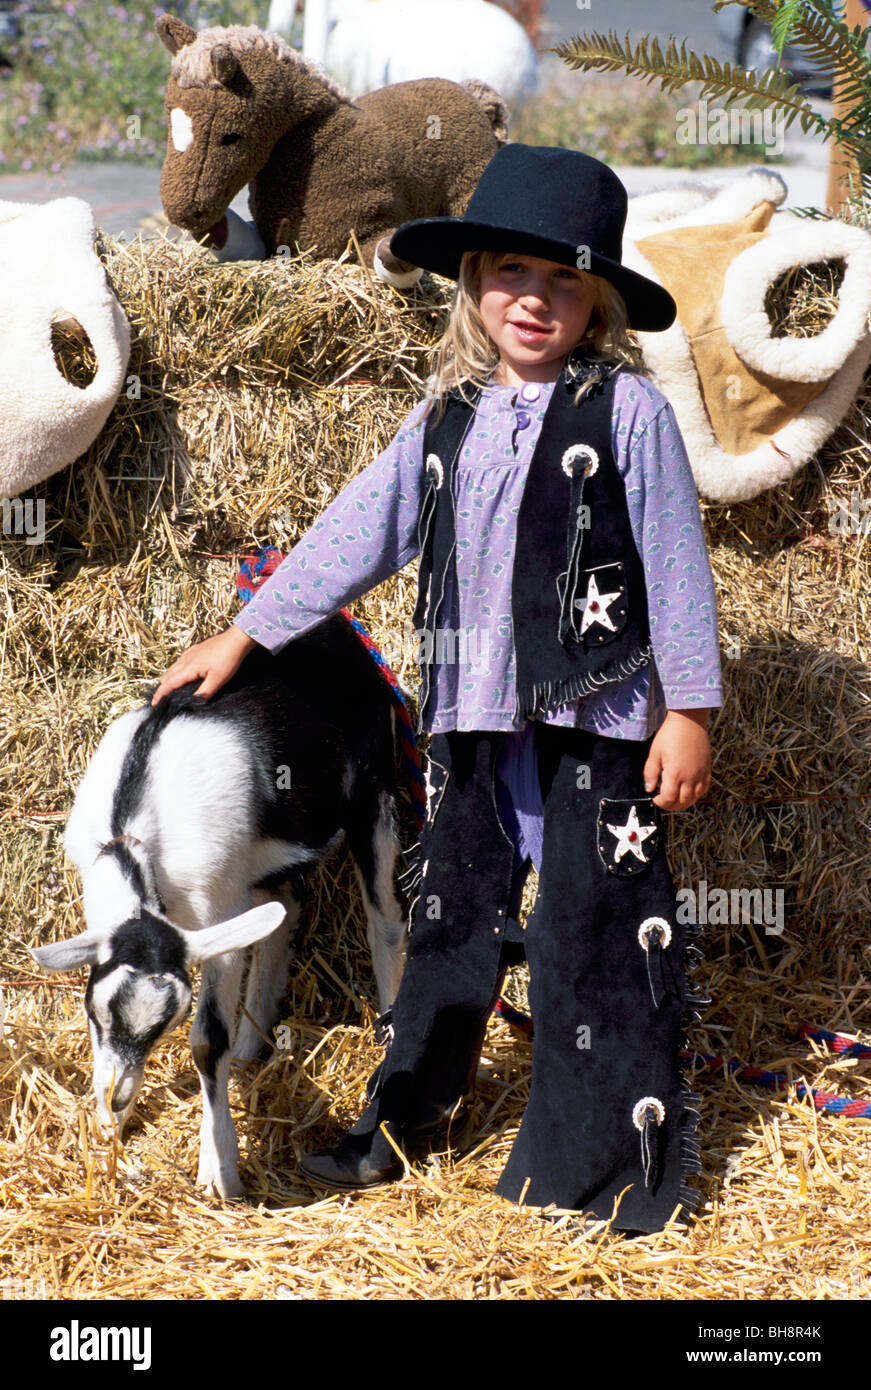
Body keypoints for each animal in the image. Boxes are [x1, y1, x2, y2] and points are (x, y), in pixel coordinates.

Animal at [30, 617, 405, 1195]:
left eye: (170, 1018)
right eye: (94, 1011)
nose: (118, 1095)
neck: (136, 827)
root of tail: (341, 630)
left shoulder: (219, 909)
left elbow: (208, 1040)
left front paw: (219, 1169)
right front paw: (112, 1127)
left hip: (373, 789)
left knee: (384, 919)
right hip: (266, 853)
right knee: (283, 913)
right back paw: (252, 1048)